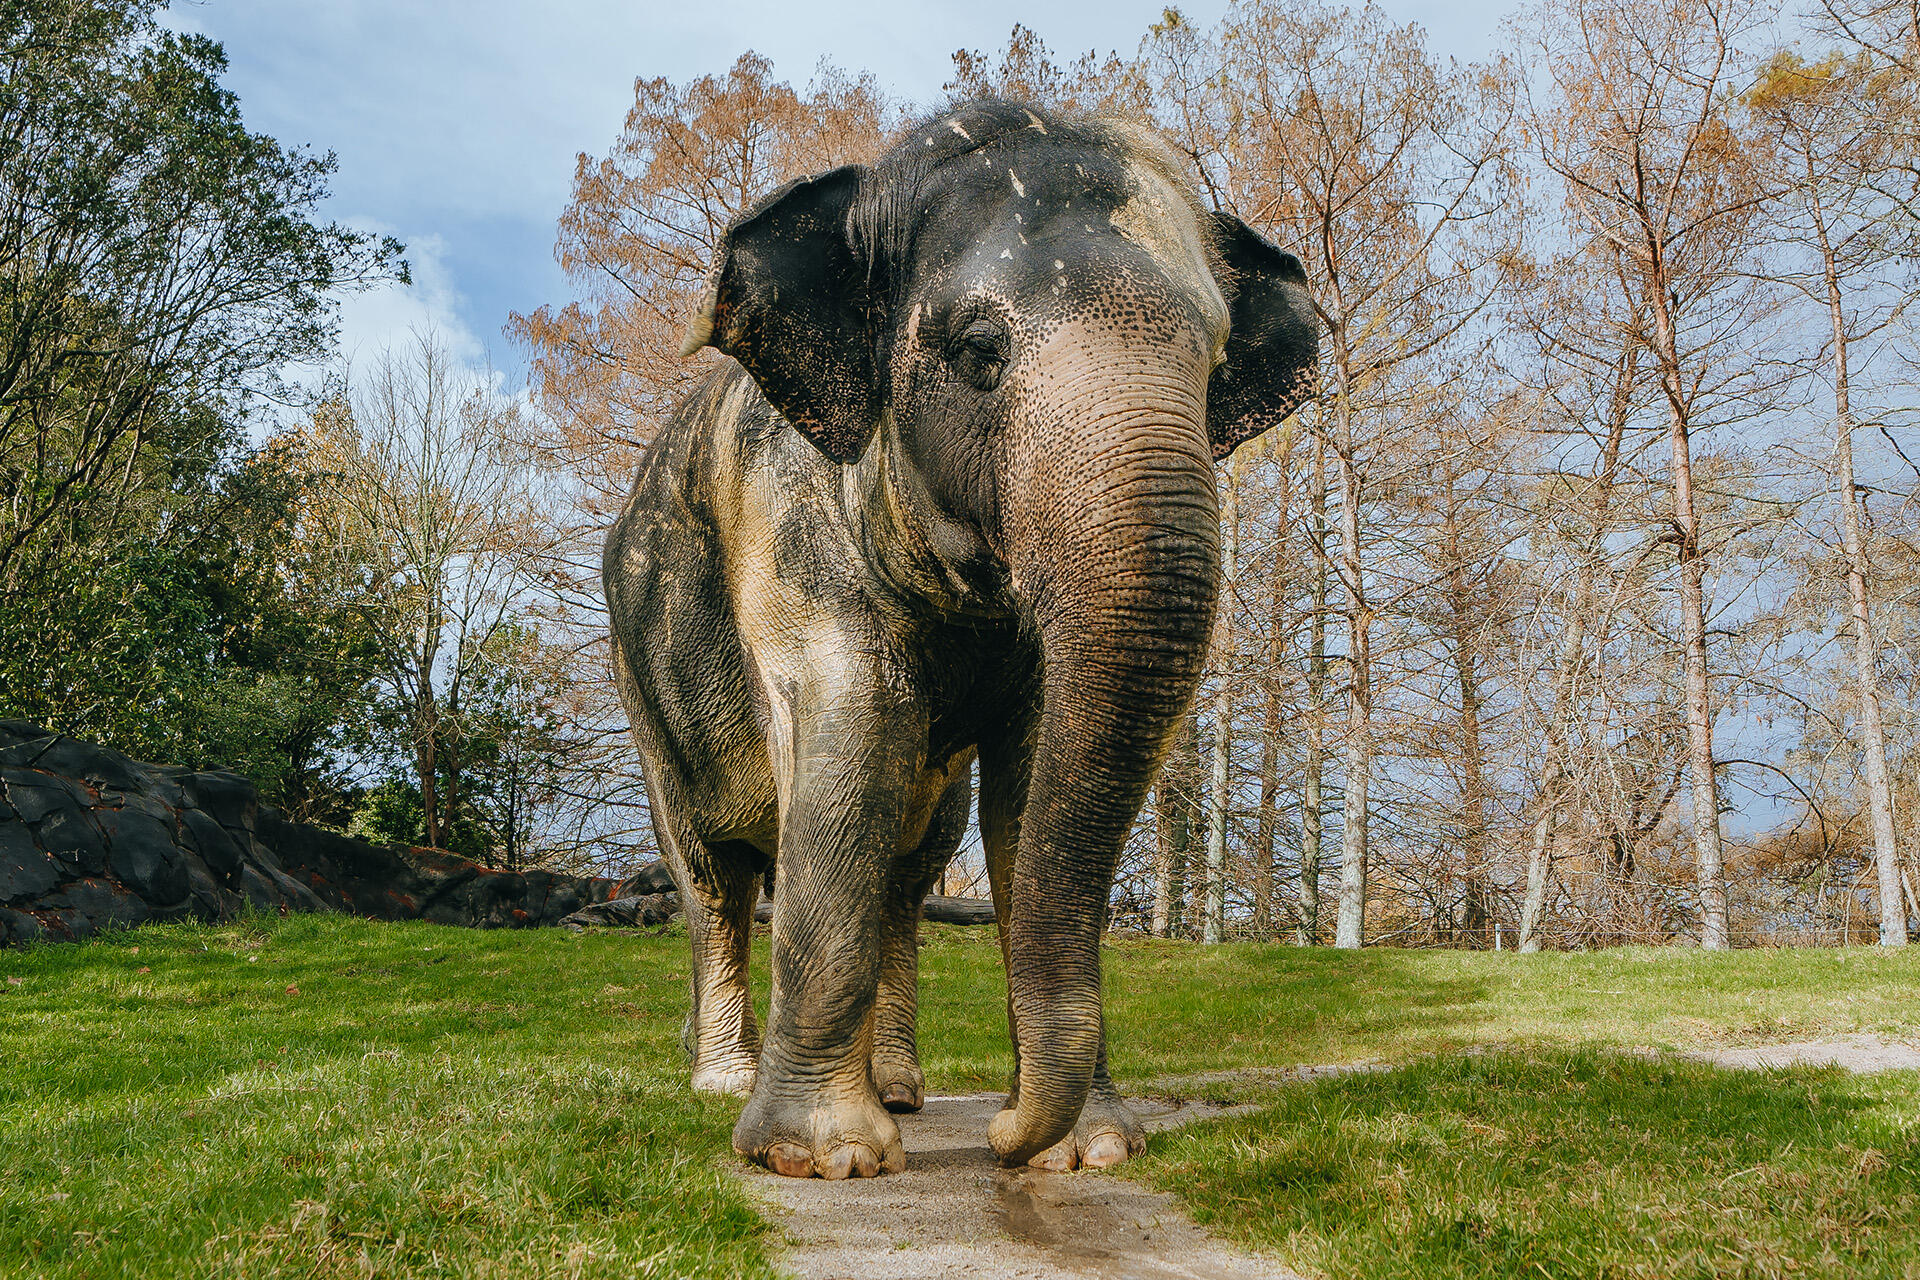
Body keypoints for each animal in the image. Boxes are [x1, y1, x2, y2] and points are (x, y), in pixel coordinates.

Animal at [603, 98, 1316, 1181]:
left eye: (1212, 364)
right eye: (979, 350)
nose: (1001, 1139)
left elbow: (1029, 780)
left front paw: (1088, 1152)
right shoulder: (794, 522)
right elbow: (853, 737)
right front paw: (826, 1159)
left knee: (906, 869)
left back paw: (900, 1090)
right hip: (643, 686)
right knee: (713, 875)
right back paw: (726, 1080)